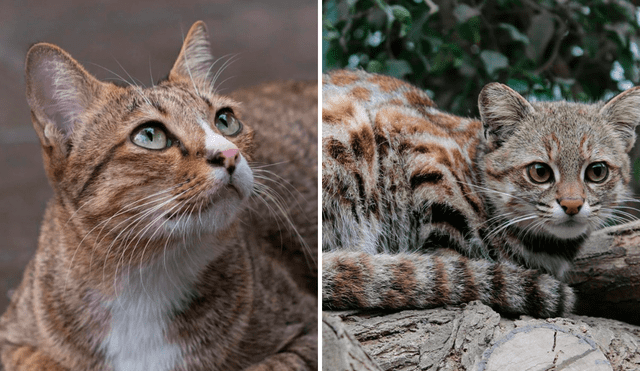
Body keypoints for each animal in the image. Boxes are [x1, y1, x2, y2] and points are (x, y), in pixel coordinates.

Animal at [0, 21, 318, 371]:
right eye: (150, 136)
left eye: (226, 121)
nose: (230, 154)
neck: (144, 278)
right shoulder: (11, 339)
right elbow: (43, 362)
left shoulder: (309, 332)